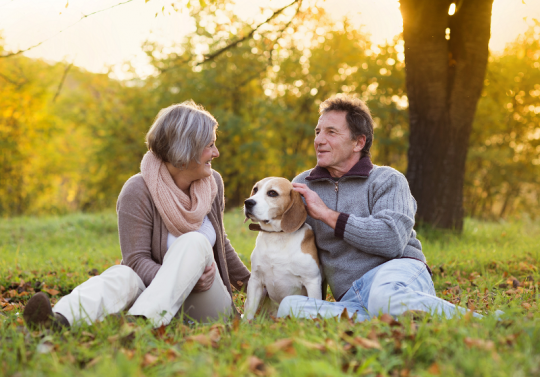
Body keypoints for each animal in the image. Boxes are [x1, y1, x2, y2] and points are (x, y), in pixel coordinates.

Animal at [244, 178, 322, 318]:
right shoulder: (255, 280)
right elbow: (249, 312)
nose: (248, 202)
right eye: (255, 189)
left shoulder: (312, 281)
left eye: (272, 193)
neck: (277, 236)